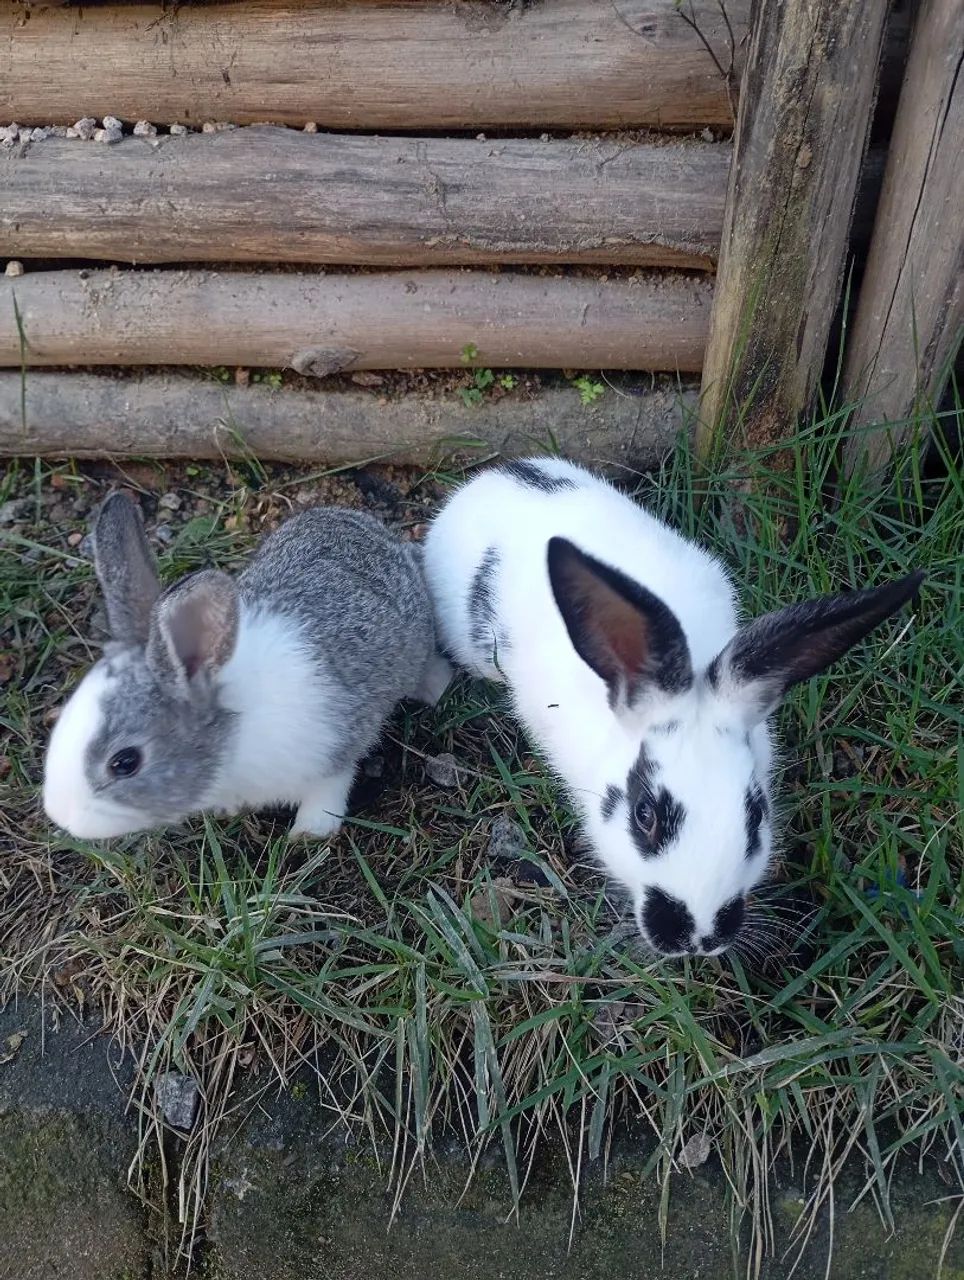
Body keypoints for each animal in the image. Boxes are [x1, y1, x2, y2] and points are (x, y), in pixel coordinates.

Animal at [43, 491, 452, 842]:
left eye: (125, 762)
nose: (61, 817)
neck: (233, 730)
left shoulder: (336, 747)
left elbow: (331, 786)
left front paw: (309, 833)